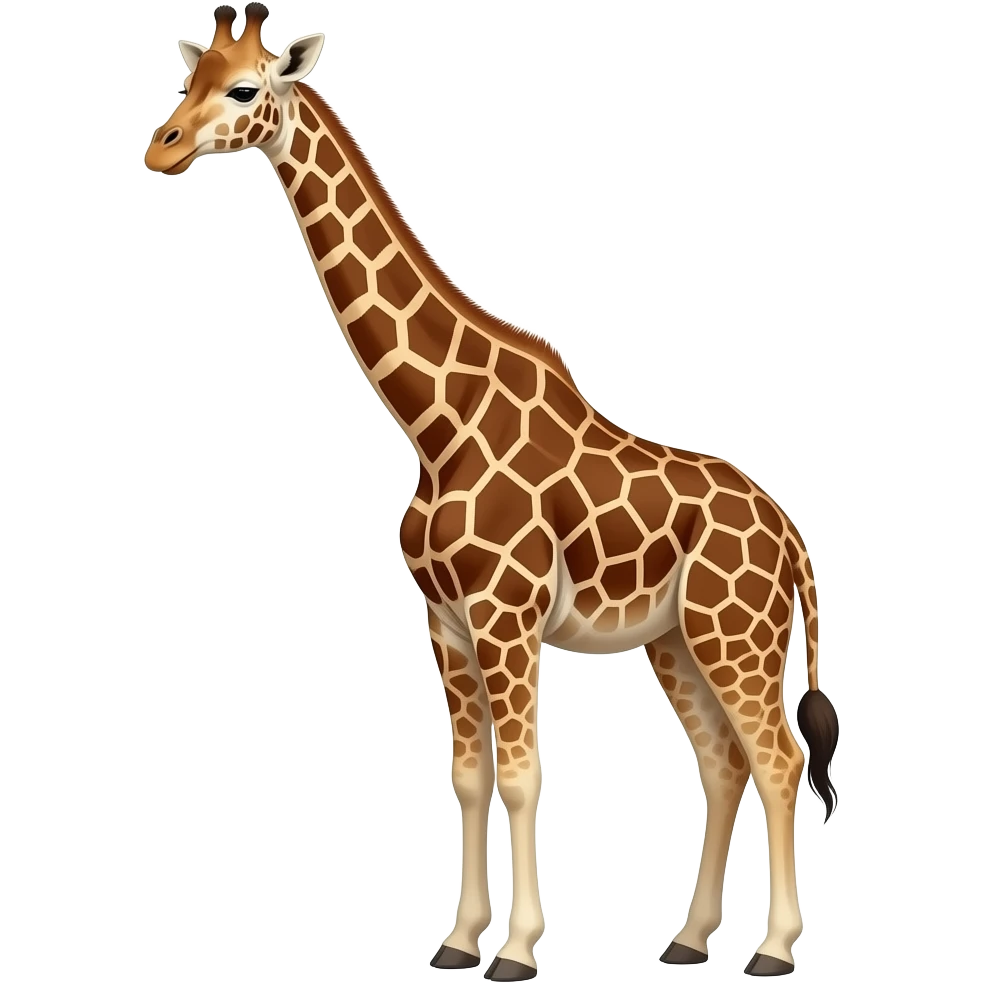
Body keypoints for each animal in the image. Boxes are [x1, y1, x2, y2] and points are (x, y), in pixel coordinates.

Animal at [143, 5, 840, 979]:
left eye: (245, 88)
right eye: (188, 79)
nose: (159, 148)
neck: (436, 424)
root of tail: (791, 537)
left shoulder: (506, 616)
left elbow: (521, 773)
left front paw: (515, 948)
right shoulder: (444, 620)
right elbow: (468, 777)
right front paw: (456, 939)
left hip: (732, 633)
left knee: (775, 757)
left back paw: (772, 948)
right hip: (674, 640)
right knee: (723, 762)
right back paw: (688, 938)